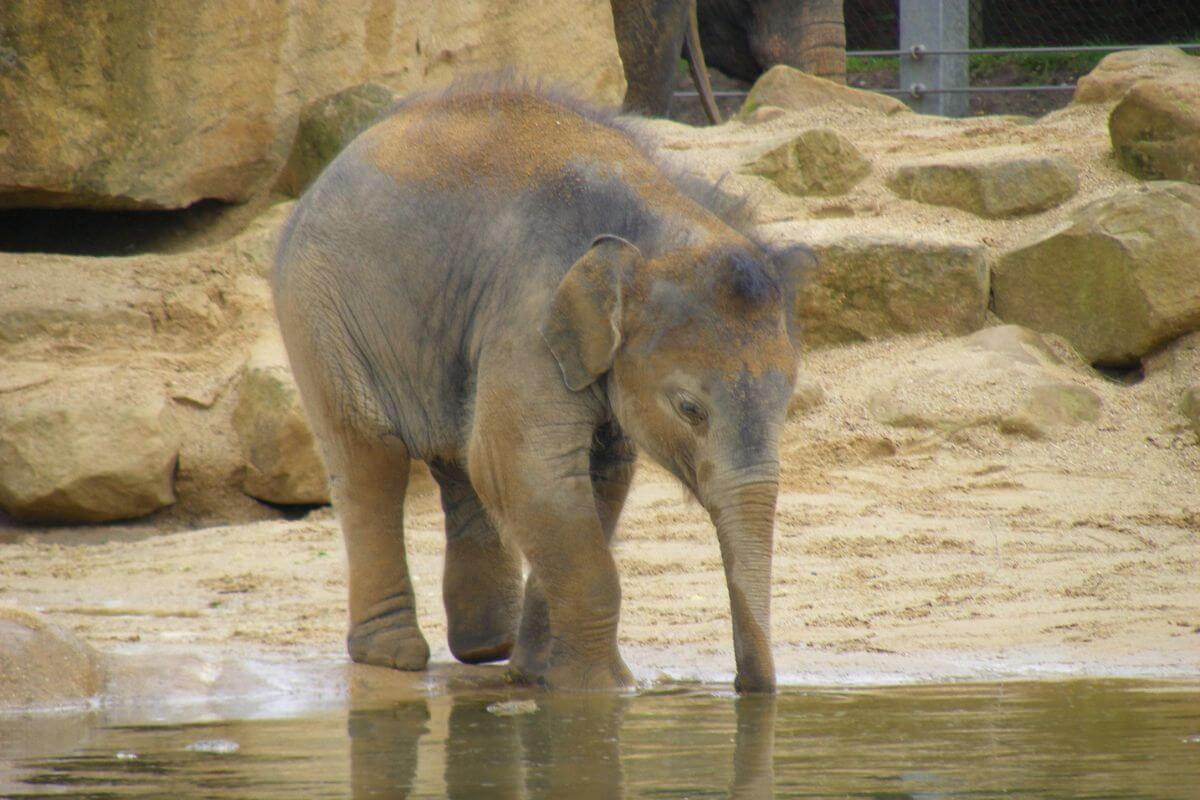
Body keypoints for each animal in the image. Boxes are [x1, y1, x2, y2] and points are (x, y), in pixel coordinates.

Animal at [276, 82, 811, 695]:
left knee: (458, 460)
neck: (652, 233)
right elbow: (524, 466)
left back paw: (488, 647)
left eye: (788, 406)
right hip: (320, 310)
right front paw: (602, 690)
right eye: (689, 409)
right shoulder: (529, 314)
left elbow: (595, 476)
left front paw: (537, 674)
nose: (746, 688)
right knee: (370, 457)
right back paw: (393, 656)